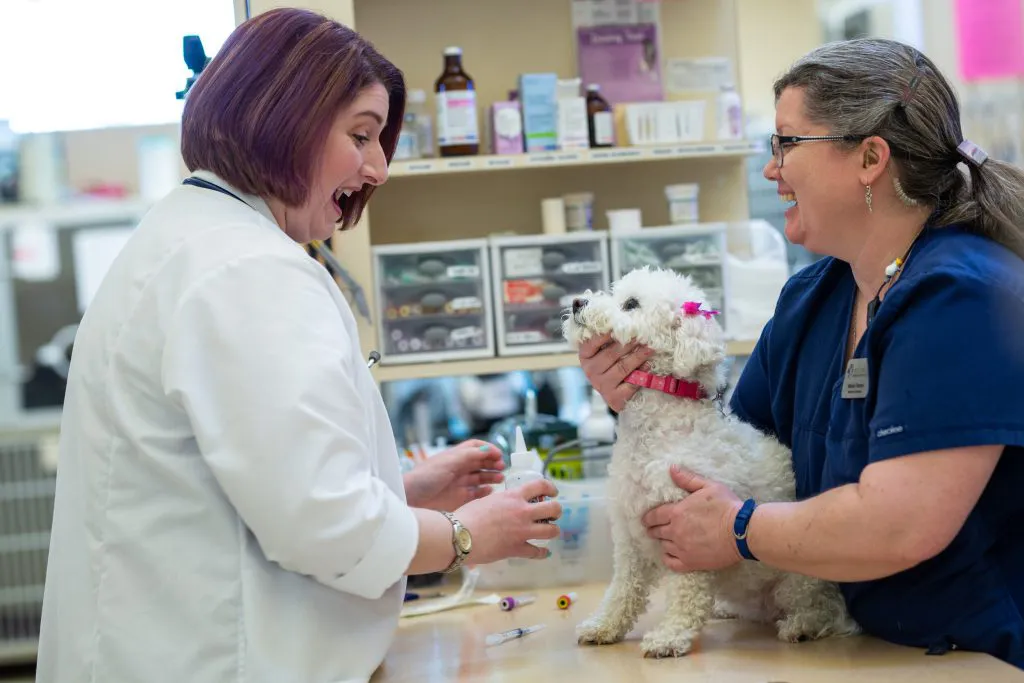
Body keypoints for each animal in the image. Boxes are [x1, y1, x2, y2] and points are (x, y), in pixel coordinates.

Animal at [565, 266, 860, 655]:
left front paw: (670, 636)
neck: (656, 428)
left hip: (801, 577)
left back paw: (803, 625)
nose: (576, 302)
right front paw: (604, 626)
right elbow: (622, 590)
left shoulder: (683, 529)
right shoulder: (628, 537)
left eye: (630, 304)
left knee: (824, 611)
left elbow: (685, 595)